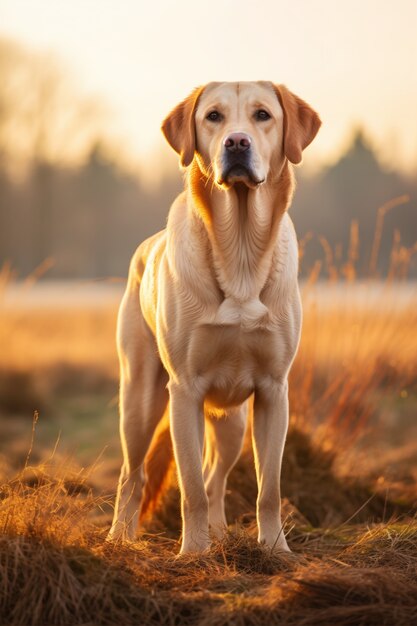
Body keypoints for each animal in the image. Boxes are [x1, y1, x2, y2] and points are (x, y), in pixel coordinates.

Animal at [107, 81, 318, 552]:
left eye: (262, 115)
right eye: (213, 117)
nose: (236, 143)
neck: (239, 252)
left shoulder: (274, 391)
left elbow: (268, 487)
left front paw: (275, 550)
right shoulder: (184, 390)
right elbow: (188, 489)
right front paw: (193, 553)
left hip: (232, 423)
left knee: (214, 477)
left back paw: (220, 535)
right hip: (140, 399)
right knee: (134, 475)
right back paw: (120, 538)